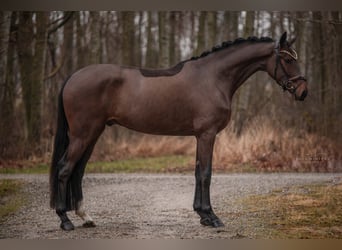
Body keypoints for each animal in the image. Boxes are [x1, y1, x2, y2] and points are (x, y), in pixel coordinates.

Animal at [50, 32, 310, 231]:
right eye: (287, 60)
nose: (303, 92)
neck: (213, 78)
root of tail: (73, 76)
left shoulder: (200, 136)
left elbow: (197, 172)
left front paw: (202, 215)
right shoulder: (207, 134)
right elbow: (206, 173)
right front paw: (212, 217)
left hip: (92, 134)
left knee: (78, 171)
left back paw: (85, 217)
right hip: (83, 134)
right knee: (64, 169)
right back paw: (65, 220)